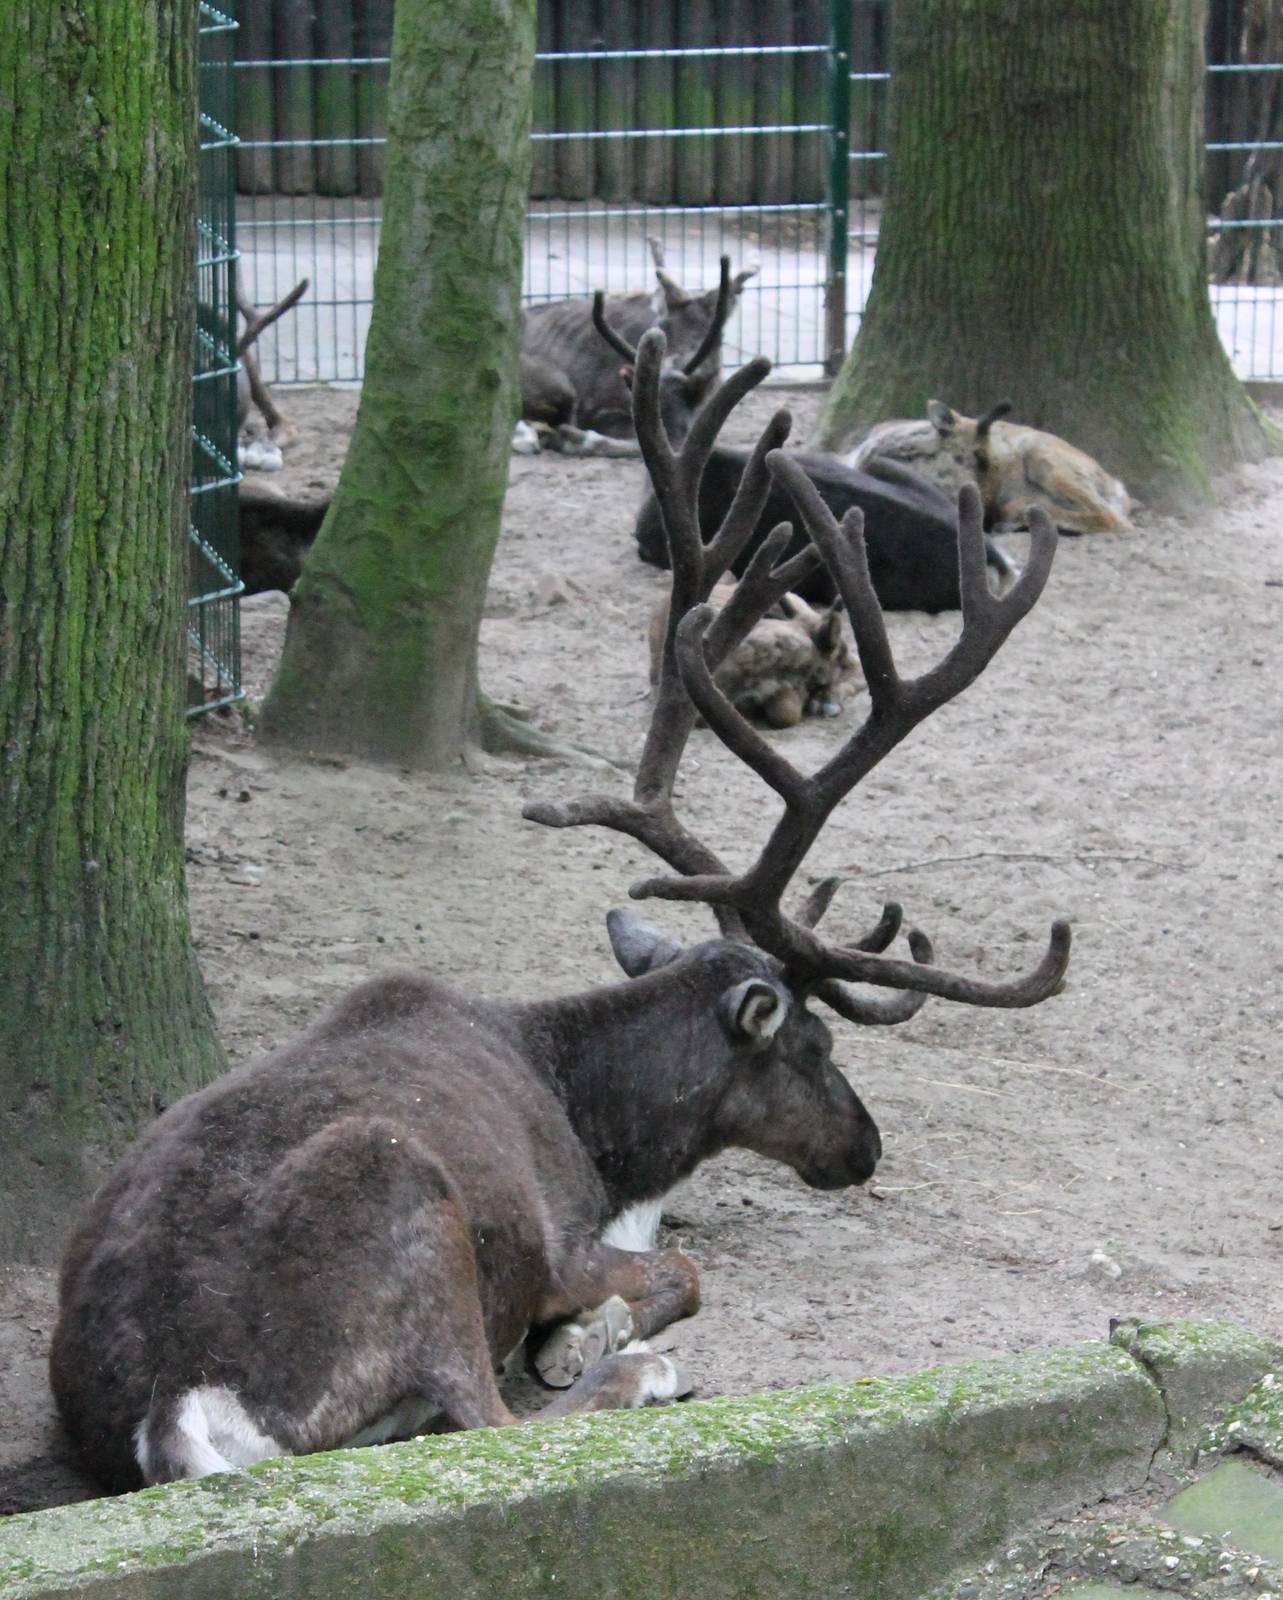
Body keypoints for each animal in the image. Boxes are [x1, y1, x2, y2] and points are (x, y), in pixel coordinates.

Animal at [49, 329, 1070, 1495]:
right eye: (811, 1046)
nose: (865, 1147)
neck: (609, 1133)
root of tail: (176, 1408)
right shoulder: (566, 1239)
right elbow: (680, 1267)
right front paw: (602, 1334)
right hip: (409, 1200)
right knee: (484, 1418)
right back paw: (641, 1373)